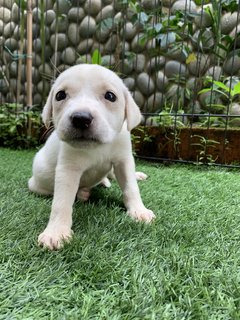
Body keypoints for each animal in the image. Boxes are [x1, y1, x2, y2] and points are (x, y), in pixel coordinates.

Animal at [28, 63, 156, 249]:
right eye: (60, 95)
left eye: (110, 96)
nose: (81, 118)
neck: (99, 147)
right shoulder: (68, 169)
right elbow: (61, 201)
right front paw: (56, 231)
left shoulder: (123, 160)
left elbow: (131, 187)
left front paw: (139, 210)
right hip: (37, 181)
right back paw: (82, 193)